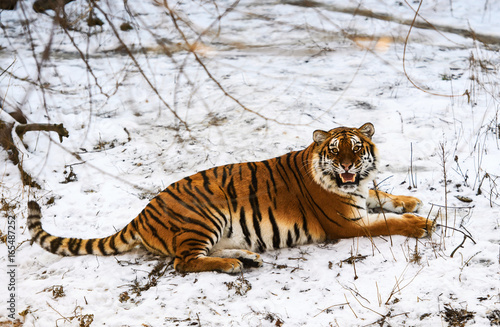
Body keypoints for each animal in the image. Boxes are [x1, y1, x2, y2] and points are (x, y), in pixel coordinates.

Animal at [28, 123, 434, 274]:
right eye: (335, 151)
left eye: (356, 148)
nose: (348, 165)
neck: (349, 184)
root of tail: (143, 213)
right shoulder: (346, 224)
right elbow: (386, 223)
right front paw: (421, 223)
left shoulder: (362, 195)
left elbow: (383, 196)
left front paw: (410, 202)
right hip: (204, 217)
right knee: (184, 262)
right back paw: (231, 265)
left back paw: (246, 257)